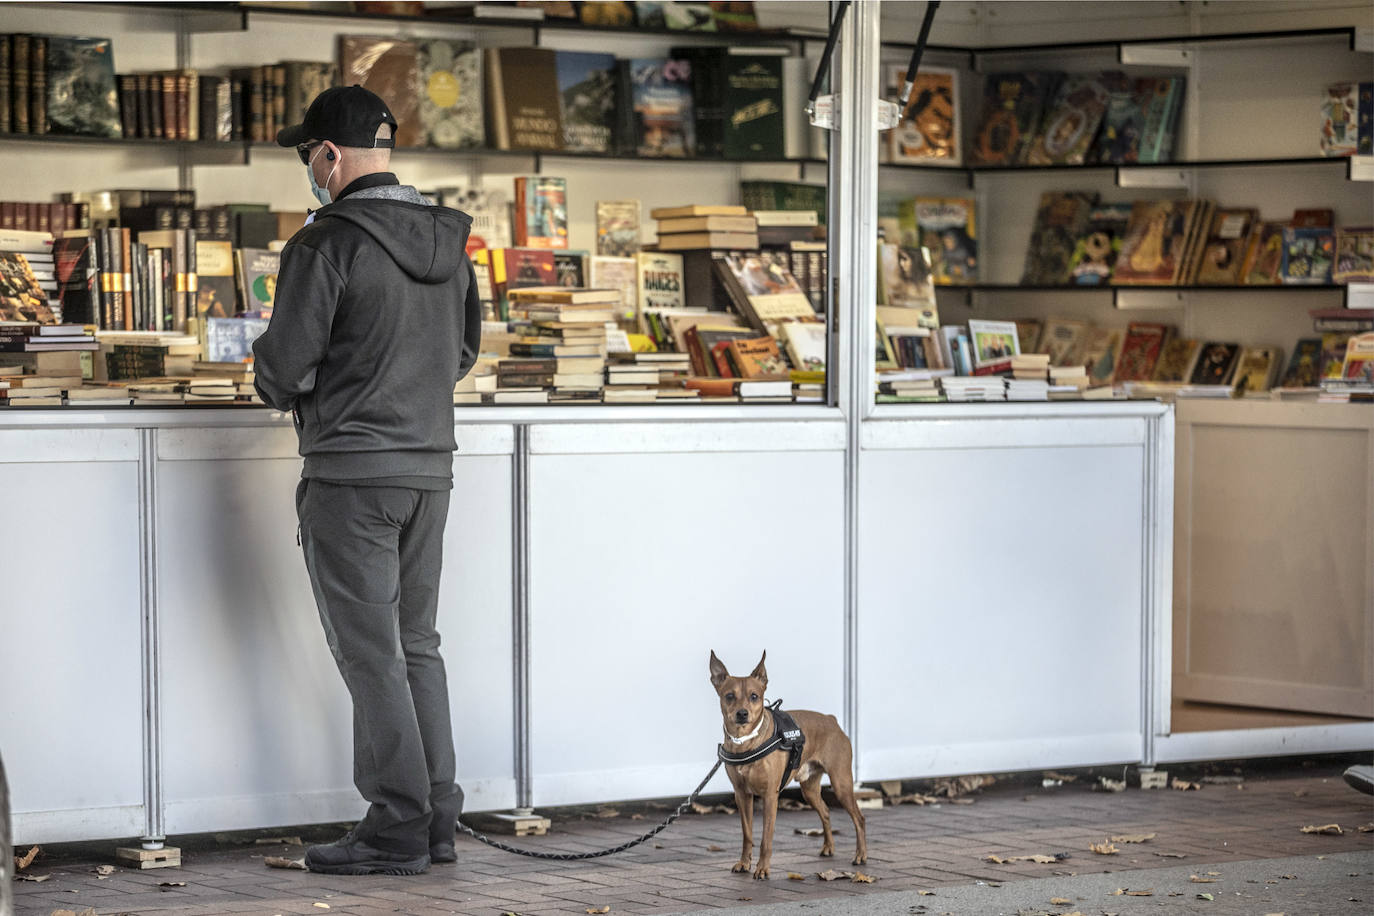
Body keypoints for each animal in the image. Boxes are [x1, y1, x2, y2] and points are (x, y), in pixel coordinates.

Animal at [714, 648, 862, 878]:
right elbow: (747, 835)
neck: (745, 741)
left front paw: (762, 869)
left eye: (754, 696)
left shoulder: (770, 796)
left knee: (859, 819)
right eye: (729, 696)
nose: (742, 713)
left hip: (842, 784)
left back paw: (860, 856)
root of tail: (832, 720)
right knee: (826, 811)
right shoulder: (742, 795)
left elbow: (766, 838)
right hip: (809, 790)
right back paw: (828, 847)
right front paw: (744, 863)